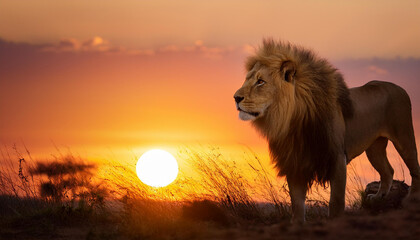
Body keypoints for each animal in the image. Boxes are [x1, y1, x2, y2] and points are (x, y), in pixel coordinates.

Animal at [235, 39, 418, 223]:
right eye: (247, 79)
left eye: (260, 81)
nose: (235, 98)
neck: (291, 120)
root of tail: (398, 87)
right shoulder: (295, 159)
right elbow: (297, 202)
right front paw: (297, 224)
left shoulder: (336, 157)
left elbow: (336, 200)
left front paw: (335, 221)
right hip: (374, 148)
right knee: (388, 170)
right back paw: (379, 198)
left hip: (404, 136)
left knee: (414, 167)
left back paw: (411, 200)